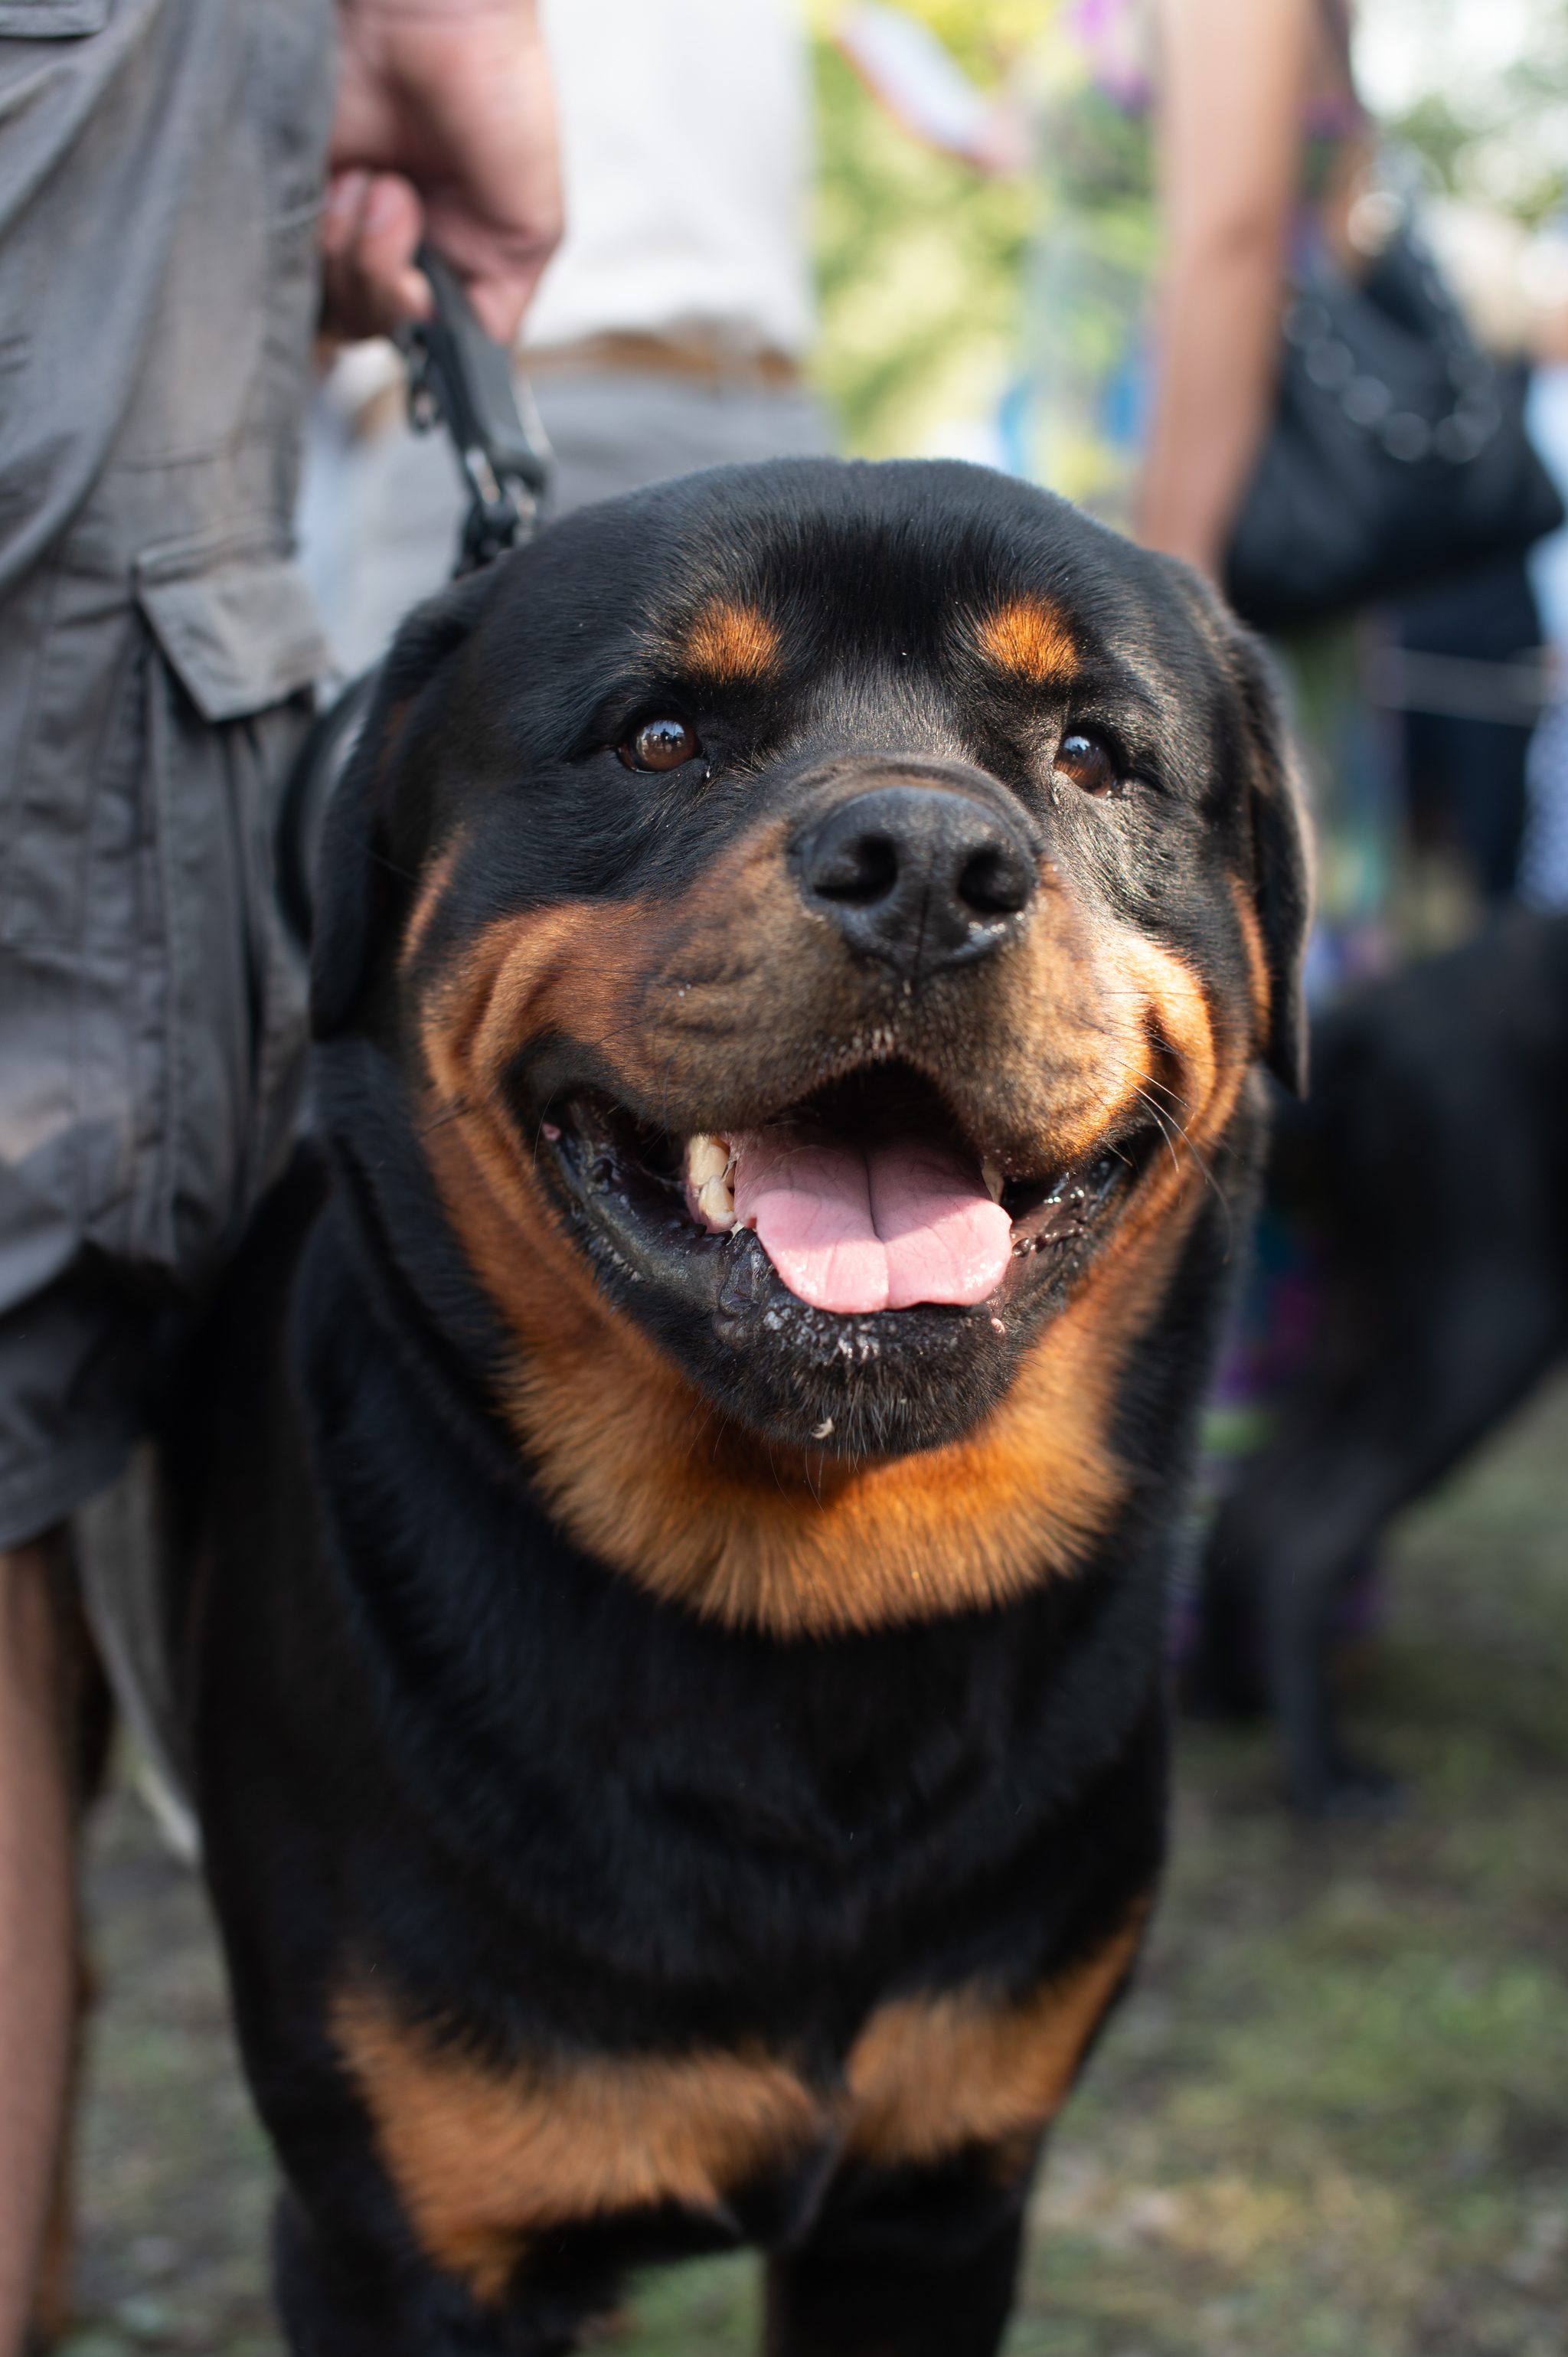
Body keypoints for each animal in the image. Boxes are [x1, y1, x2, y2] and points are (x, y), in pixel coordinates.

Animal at [163, 458, 1309, 2356]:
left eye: (1090, 751)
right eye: (659, 734)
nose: (927, 864)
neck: (806, 1599)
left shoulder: (935, 2198)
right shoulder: (398, 2242)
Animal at [1191, 907, 1568, 1816]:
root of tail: (1376, 1016)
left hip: (1374, 1324)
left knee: (1254, 1506)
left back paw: (1231, 1702)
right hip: (1487, 1322)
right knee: (1303, 1532)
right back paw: (1325, 1780)